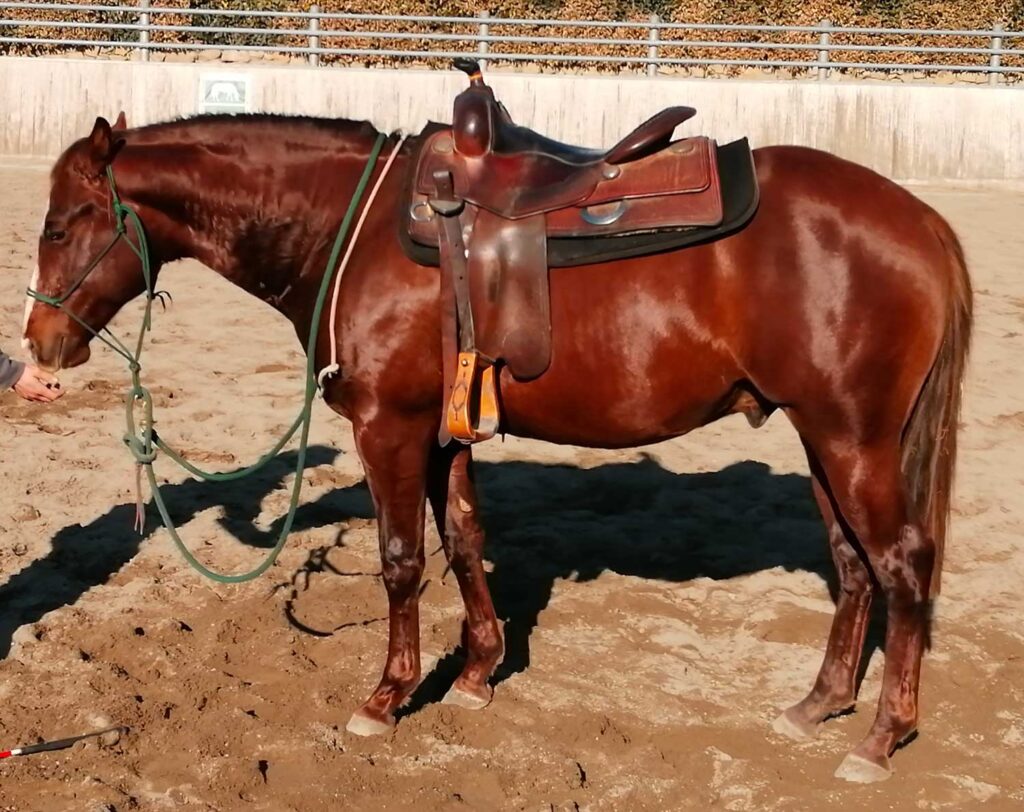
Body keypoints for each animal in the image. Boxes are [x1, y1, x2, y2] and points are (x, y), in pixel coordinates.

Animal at [21, 110, 972, 783]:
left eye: (63, 225)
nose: (38, 347)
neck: (352, 225)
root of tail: (921, 220)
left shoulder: (389, 427)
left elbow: (402, 557)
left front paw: (387, 696)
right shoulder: (443, 431)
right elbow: (464, 539)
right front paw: (478, 674)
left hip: (853, 439)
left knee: (902, 563)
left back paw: (880, 737)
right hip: (824, 439)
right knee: (851, 563)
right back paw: (821, 704)